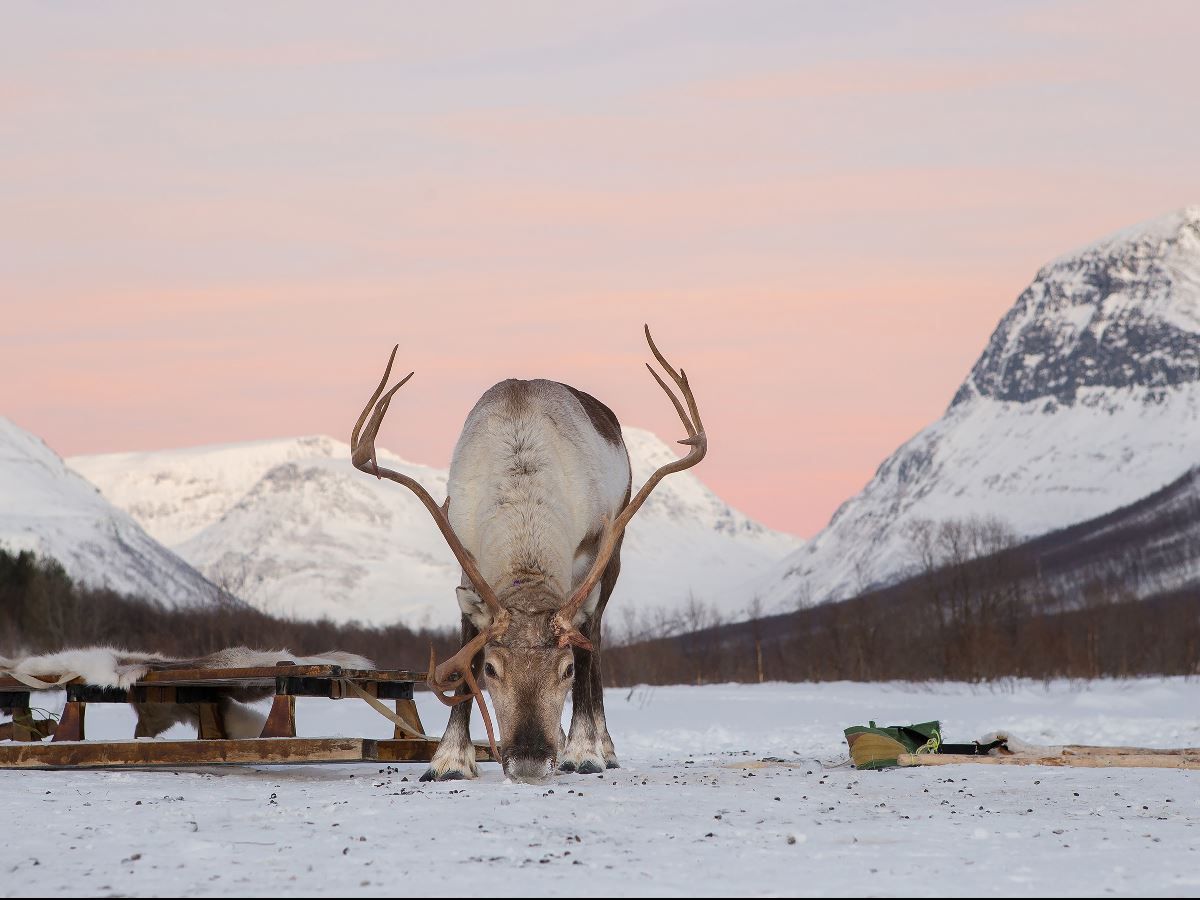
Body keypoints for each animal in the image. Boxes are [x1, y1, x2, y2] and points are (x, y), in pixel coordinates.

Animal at [350, 325, 706, 782]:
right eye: (490, 669)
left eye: (565, 669)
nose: (531, 760)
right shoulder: (468, 556)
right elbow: (466, 644)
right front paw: (449, 760)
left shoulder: (589, 554)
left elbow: (586, 649)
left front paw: (583, 753)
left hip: (615, 551)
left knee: (597, 639)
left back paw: (600, 748)